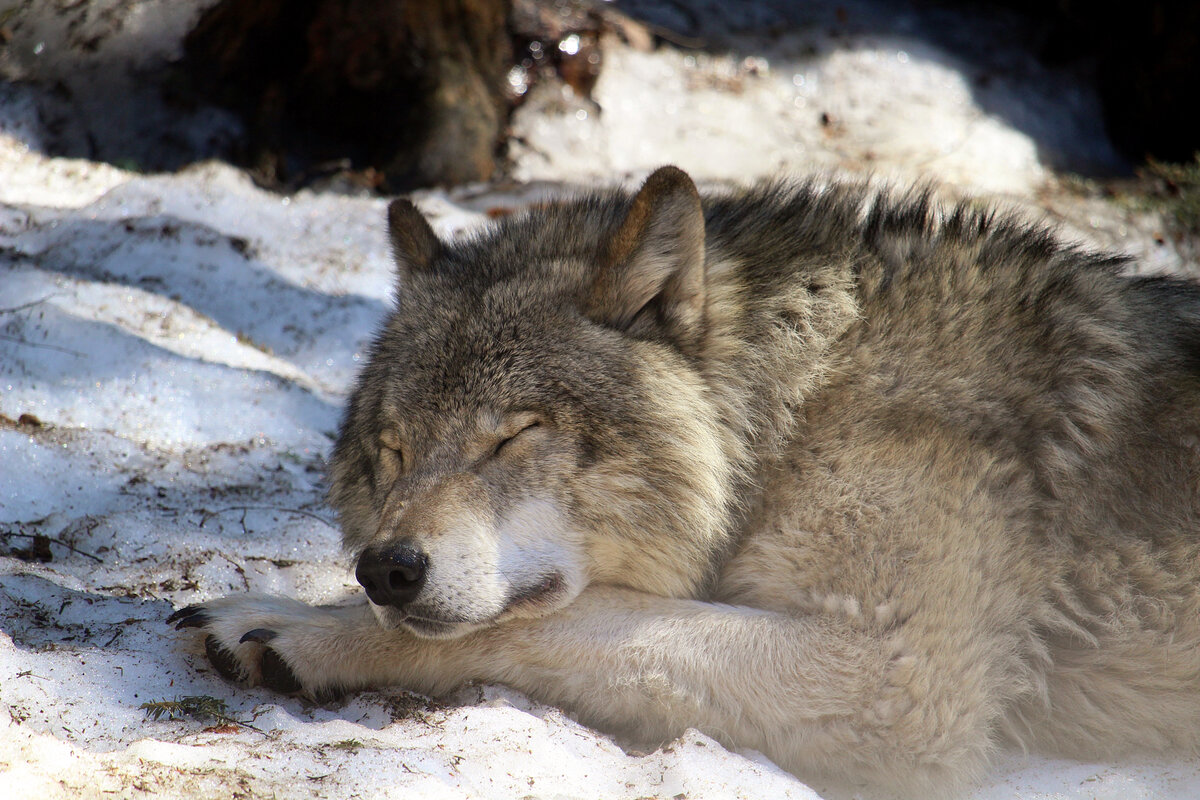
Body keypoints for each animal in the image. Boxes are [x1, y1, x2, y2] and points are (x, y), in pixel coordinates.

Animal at [169, 164, 1200, 796]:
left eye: (514, 436)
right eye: (391, 451)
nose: (385, 569)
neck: (796, 410)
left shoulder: (891, 678)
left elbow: (559, 623)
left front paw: (302, 625)